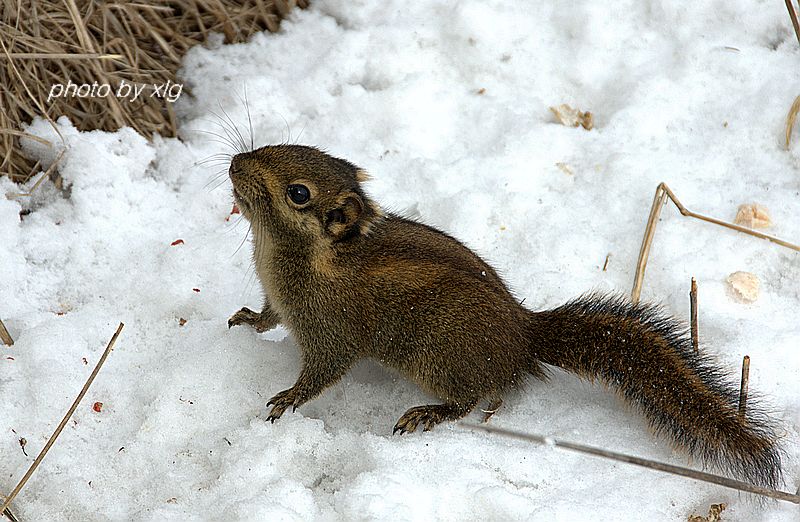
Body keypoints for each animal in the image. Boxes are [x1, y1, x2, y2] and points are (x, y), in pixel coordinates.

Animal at [223, 142, 780, 488]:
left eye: (298, 193)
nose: (234, 162)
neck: (285, 253)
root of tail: (524, 333)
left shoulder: (331, 332)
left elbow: (321, 374)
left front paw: (287, 399)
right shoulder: (281, 301)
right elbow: (269, 316)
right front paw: (249, 320)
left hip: (438, 354)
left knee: (471, 396)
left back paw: (429, 413)